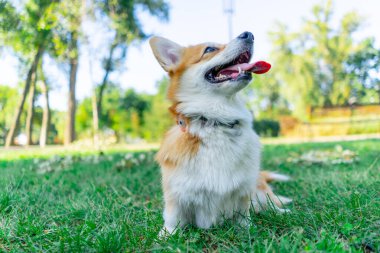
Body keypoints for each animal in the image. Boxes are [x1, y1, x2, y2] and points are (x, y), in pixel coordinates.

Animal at [148, 31, 290, 235]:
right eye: (209, 49)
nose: (249, 34)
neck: (216, 122)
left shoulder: (243, 191)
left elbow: (243, 215)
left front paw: (246, 229)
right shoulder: (176, 195)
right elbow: (172, 220)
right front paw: (165, 237)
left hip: (259, 189)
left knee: (269, 202)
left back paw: (281, 211)